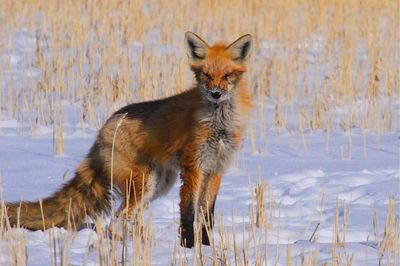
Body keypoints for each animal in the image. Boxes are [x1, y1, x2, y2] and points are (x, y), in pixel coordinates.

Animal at [3, 32, 253, 248]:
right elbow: (188, 213)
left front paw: (207, 247)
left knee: (123, 220)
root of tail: (103, 130)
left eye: (227, 76)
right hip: (144, 184)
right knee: (116, 221)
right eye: (206, 76)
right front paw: (189, 248)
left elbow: (207, 215)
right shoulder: (193, 168)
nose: (215, 94)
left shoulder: (216, 169)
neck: (219, 123)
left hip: (158, 185)